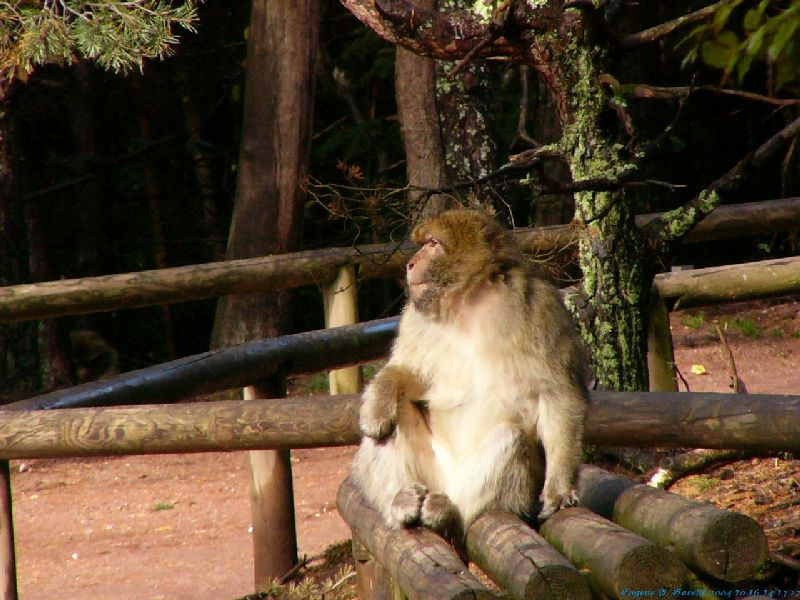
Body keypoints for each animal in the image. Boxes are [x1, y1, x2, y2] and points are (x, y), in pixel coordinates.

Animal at [352, 209, 588, 540]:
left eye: (432, 243)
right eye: (424, 243)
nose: (410, 263)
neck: (468, 305)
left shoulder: (540, 307)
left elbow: (558, 393)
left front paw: (559, 490)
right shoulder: (415, 317)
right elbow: (409, 373)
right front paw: (377, 405)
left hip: (479, 488)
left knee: (511, 436)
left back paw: (448, 514)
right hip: (431, 472)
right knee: (392, 422)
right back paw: (400, 500)